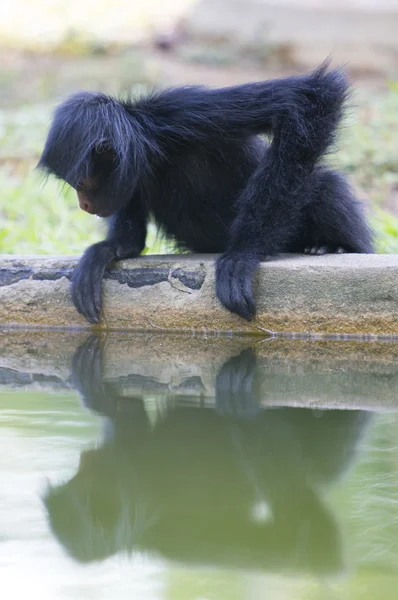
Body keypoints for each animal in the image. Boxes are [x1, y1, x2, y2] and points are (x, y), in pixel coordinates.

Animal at [37, 61, 374, 324]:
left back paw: (333, 246)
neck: (157, 156)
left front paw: (242, 254)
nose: (83, 204)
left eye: (82, 185)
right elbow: (131, 241)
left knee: (323, 183)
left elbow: (313, 97)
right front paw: (103, 251)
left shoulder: (181, 110)